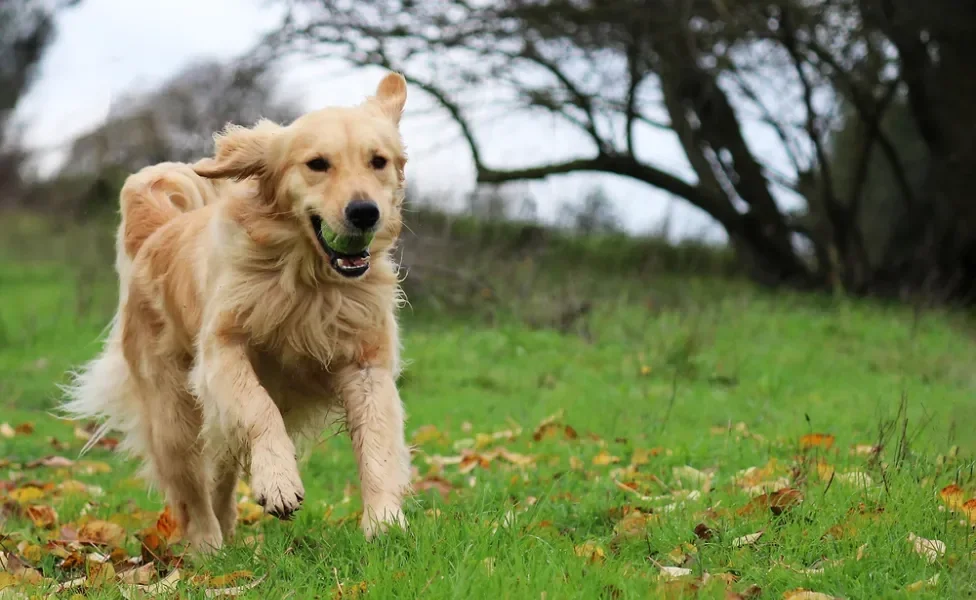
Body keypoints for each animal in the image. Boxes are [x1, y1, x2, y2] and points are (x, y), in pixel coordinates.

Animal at [61, 71, 412, 552]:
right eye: (317, 164)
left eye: (378, 161)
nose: (365, 212)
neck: (308, 280)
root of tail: (156, 232)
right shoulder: (221, 352)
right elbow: (259, 408)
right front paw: (279, 482)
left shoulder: (365, 363)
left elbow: (377, 441)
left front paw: (384, 522)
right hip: (172, 415)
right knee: (191, 491)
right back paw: (208, 548)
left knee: (221, 473)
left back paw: (228, 528)